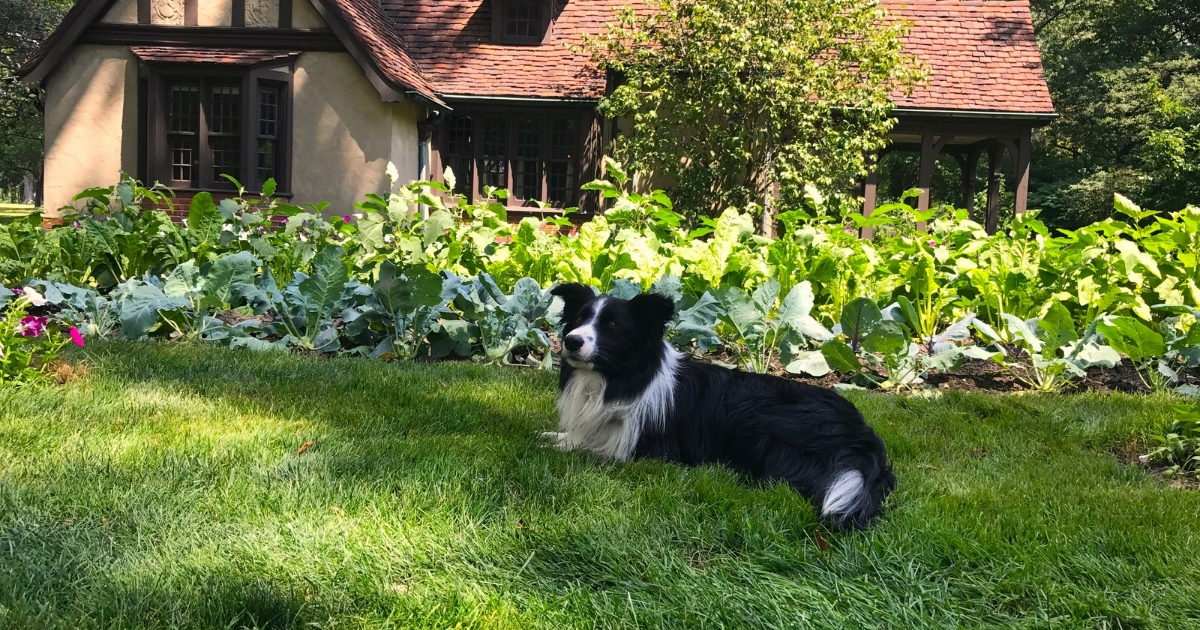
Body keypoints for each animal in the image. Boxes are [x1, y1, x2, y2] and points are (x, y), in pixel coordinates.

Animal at [549, 282, 897, 528]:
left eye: (612, 326)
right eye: (579, 319)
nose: (571, 341)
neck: (619, 379)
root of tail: (863, 436)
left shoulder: (641, 449)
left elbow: (592, 446)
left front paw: (562, 443)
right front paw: (557, 436)